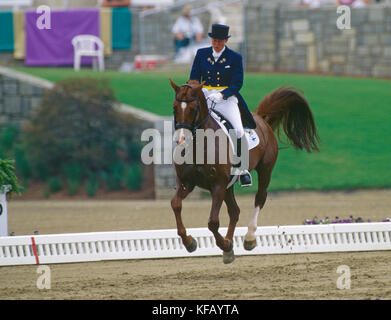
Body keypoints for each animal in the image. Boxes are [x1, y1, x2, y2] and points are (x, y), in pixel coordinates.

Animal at [170, 79, 320, 264]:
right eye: (174, 108)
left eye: (192, 109)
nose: (181, 140)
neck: (199, 145)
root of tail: (260, 118)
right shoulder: (186, 183)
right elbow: (176, 204)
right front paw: (190, 242)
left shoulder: (218, 185)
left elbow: (213, 222)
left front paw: (225, 245)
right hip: (228, 185)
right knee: (235, 211)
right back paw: (229, 247)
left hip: (264, 171)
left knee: (260, 198)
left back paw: (249, 238)